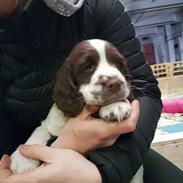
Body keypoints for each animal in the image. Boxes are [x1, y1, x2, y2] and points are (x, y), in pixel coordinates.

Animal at [10, 39, 143, 183]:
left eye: (118, 64)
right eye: (88, 66)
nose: (115, 83)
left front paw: (114, 105)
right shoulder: (51, 124)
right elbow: (40, 130)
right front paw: (22, 159)